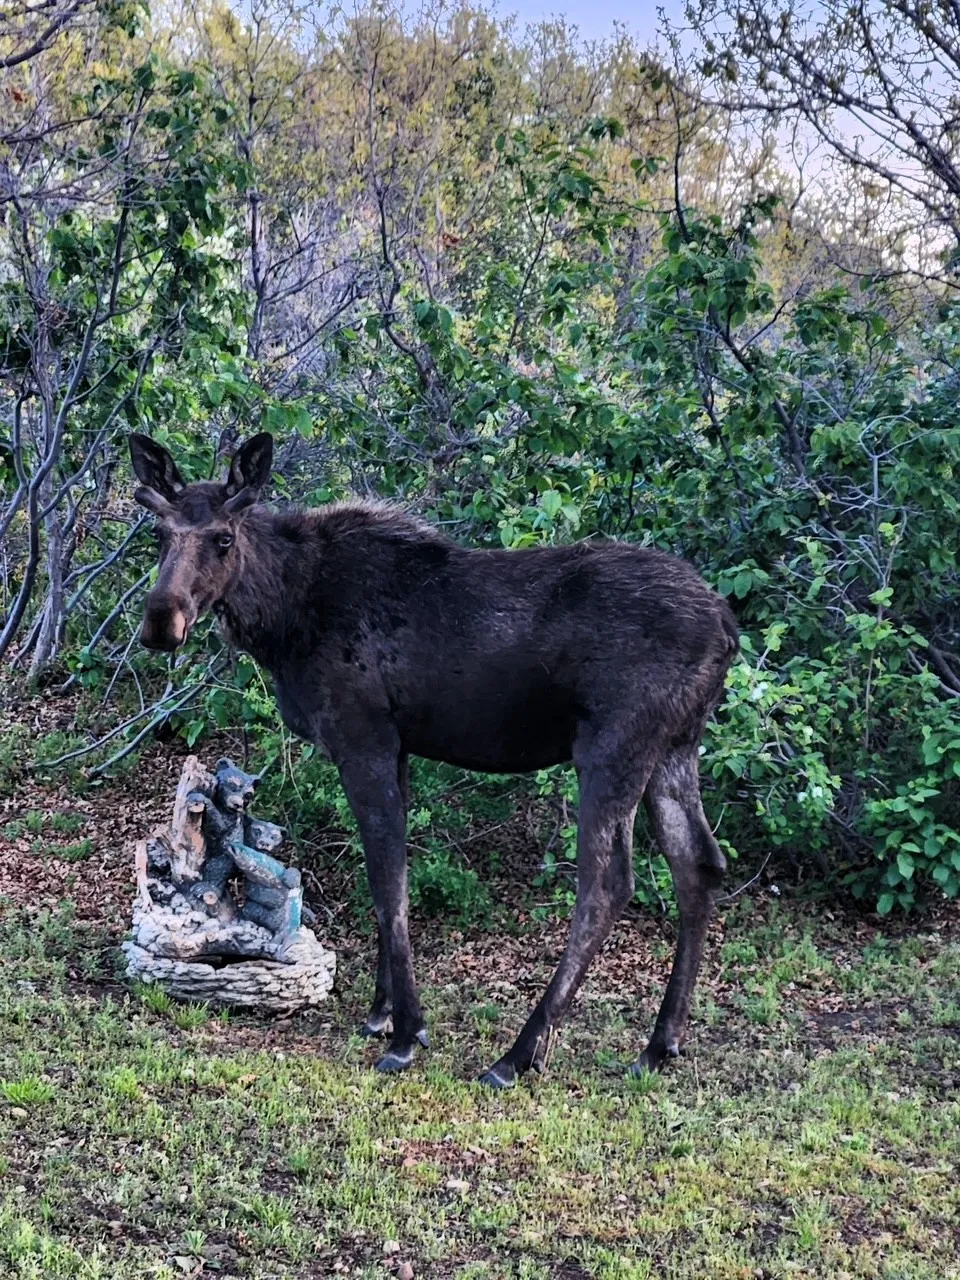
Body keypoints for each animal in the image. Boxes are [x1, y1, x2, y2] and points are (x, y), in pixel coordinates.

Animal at [129, 430, 739, 1087]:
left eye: (222, 537)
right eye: (159, 533)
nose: (161, 621)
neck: (283, 619)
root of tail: (728, 630)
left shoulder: (362, 738)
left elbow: (388, 881)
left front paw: (405, 1033)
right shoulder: (397, 746)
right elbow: (388, 880)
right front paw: (380, 1013)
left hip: (613, 745)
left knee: (607, 884)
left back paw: (518, 1053)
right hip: (675, 746)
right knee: (699, 863)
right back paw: (660, 1043)